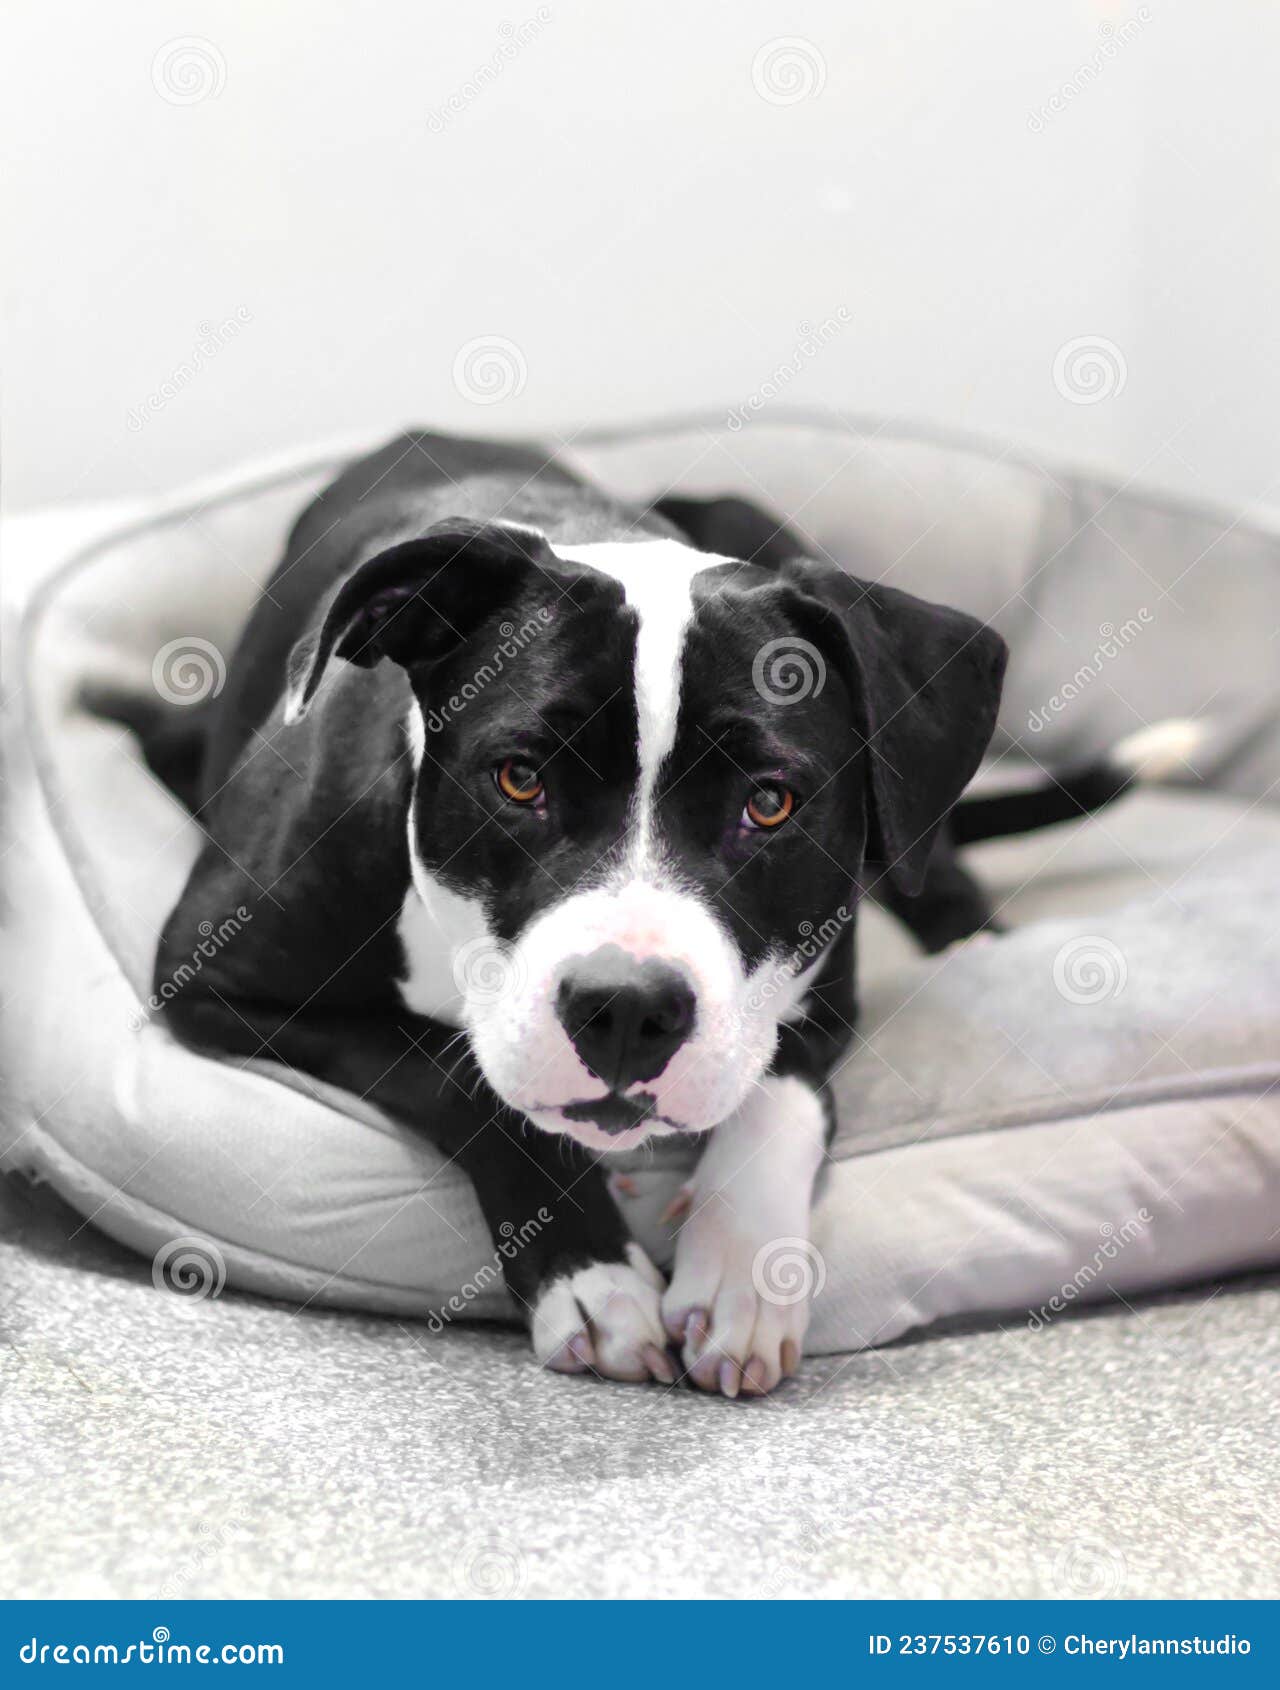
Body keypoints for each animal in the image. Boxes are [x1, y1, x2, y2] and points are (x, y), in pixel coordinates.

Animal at [147, 429, 1170, 1392]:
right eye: (519, 780)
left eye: (770, 803)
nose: (627, 1011)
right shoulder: (209, 984)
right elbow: (458, 1077)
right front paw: (592, 1280)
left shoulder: (821, 983)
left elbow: (784, 1085)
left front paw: (743, 1273)